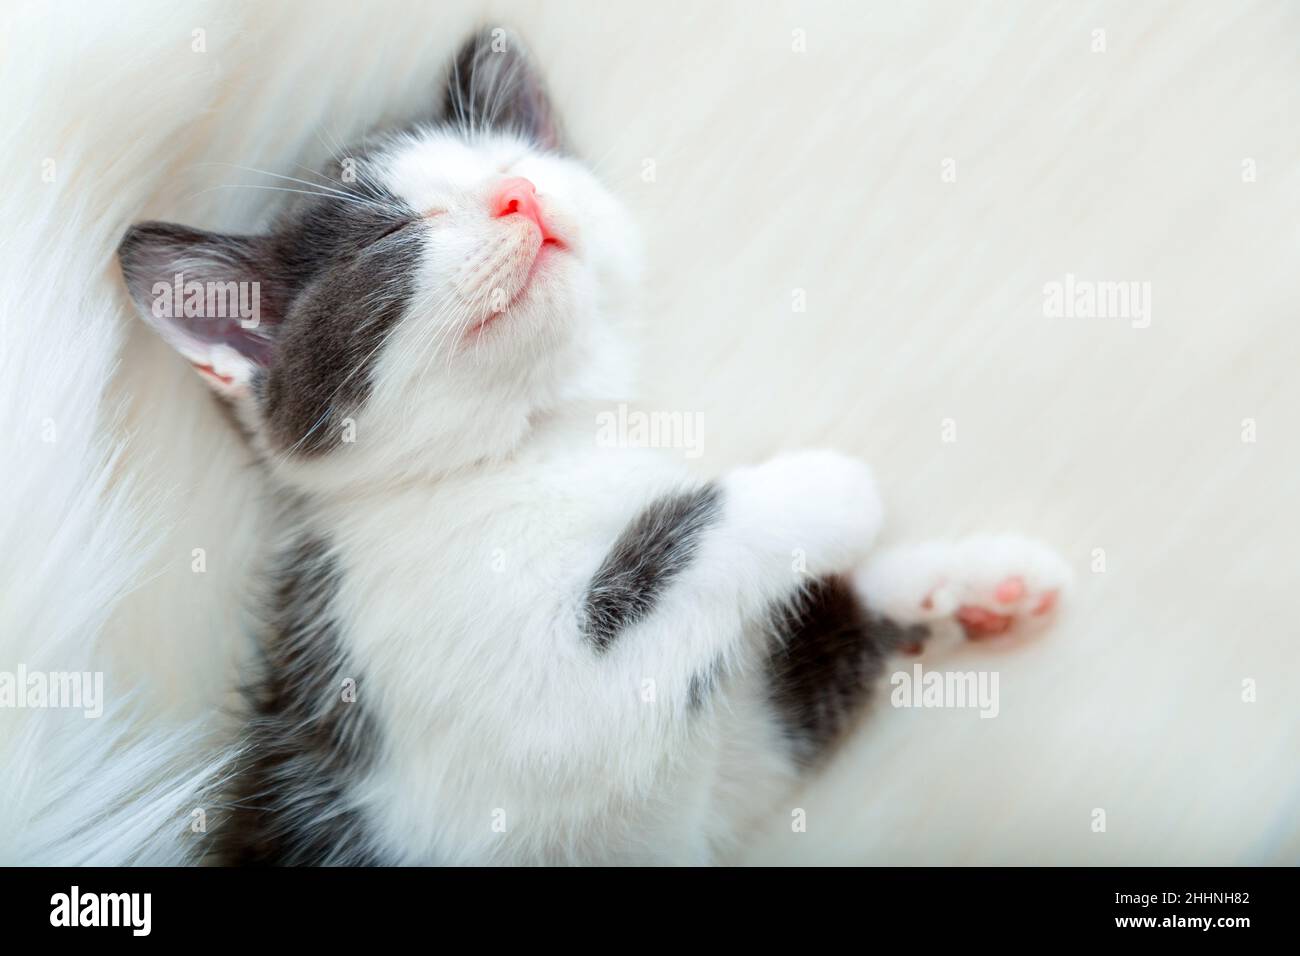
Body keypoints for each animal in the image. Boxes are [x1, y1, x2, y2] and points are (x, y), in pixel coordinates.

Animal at [116, 29, 1071, 868]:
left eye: (515, 164)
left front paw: (959, 585)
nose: (521, 197)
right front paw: (826, 489)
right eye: (394, 235)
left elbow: (775, 708)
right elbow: (684, 540)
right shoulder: (490, 707)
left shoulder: (720, 782)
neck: (541, 441)